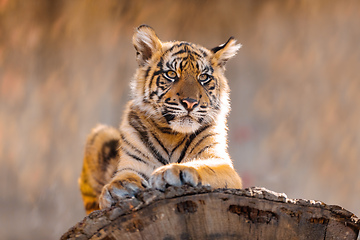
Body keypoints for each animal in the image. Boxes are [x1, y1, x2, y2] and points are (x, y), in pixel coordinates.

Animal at [79, 25, 242, 215]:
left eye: (203, 77)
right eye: (171, 74)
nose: (190, 103)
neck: (171, 134)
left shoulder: (221, 162)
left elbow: (203, 166)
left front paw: (175, 171)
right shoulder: (131, 164)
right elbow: (123, 176)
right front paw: (118, 187)